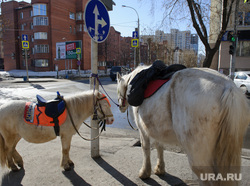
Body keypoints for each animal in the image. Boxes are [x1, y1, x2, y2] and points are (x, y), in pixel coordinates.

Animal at [117, 66, 250, 185]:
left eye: (118, 90)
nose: (120, 106)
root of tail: (229, 87)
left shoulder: (143, 130)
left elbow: (145, 148)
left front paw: (144, 172)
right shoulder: (157, 129)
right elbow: (160, 147)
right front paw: (160, 169)